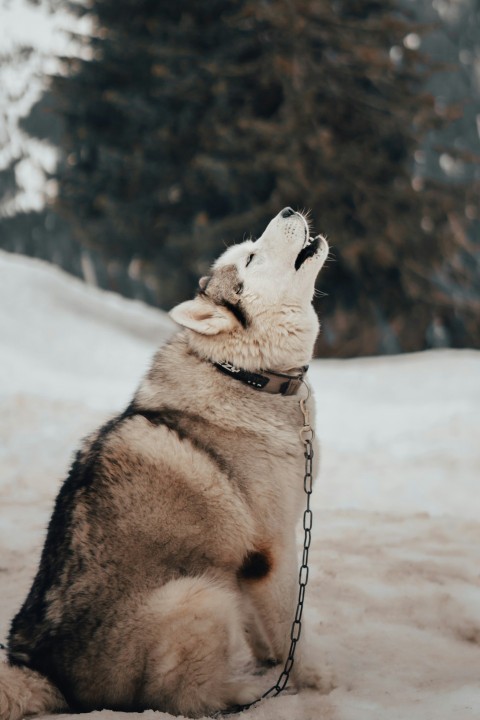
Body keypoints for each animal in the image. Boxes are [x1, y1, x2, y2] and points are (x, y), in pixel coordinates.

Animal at [0, 205, 330, 716]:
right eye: (252, 258)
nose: (288, 209)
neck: (246, 376)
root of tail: (49, 676)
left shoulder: (242, 566)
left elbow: (261, 630)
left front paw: (270, 663)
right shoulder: (271, 553)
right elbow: (286, 626)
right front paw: (308, 677)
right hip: (199, 594)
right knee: (182, 699)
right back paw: (240, 693)